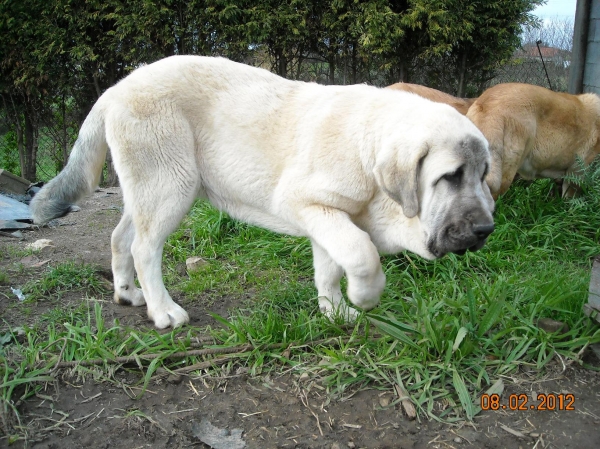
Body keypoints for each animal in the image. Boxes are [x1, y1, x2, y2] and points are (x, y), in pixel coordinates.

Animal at [30, 57, 494, 328]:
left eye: (483, 174)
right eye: (451, 176)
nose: (486, 230)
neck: (368, 148)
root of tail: (114, 90)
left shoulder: (327, 216)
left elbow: (332, 265)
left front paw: (334, 310)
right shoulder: (306, 203)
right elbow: (362, 254)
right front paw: (365, 296)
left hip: (150, 188)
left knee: (120, 237)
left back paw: (128, 294)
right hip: (171, 187)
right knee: (144, 248)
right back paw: (163, 311)